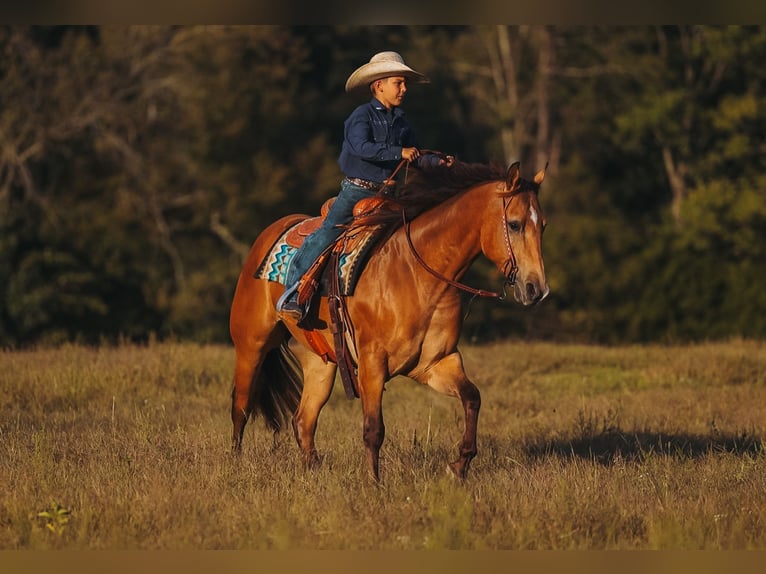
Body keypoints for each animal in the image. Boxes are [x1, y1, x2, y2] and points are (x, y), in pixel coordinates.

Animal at [229, 160, 548, 481]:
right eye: (515, 224)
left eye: (543, 225)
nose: (537, 289)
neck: (415, 274)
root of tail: (271, 232)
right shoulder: (372, 363)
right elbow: (373, 429)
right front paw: (374, 482)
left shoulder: (436, 362)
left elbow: (473, 398)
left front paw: (459, 465)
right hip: (251, 346)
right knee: (241, 408)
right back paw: (236, 463)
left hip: (320, 362)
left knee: (303, 420)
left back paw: (313, 471)